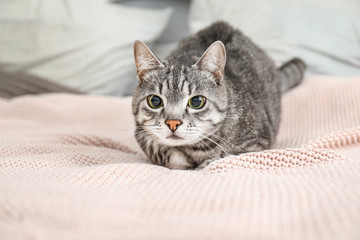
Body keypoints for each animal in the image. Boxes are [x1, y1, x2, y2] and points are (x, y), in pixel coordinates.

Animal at [131, 21, 306, 170]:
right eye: (155, 101)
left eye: (196, 101)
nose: (173, 123)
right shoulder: (140, 132)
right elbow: (160, 149)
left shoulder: (257, 144)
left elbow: (222, 157)